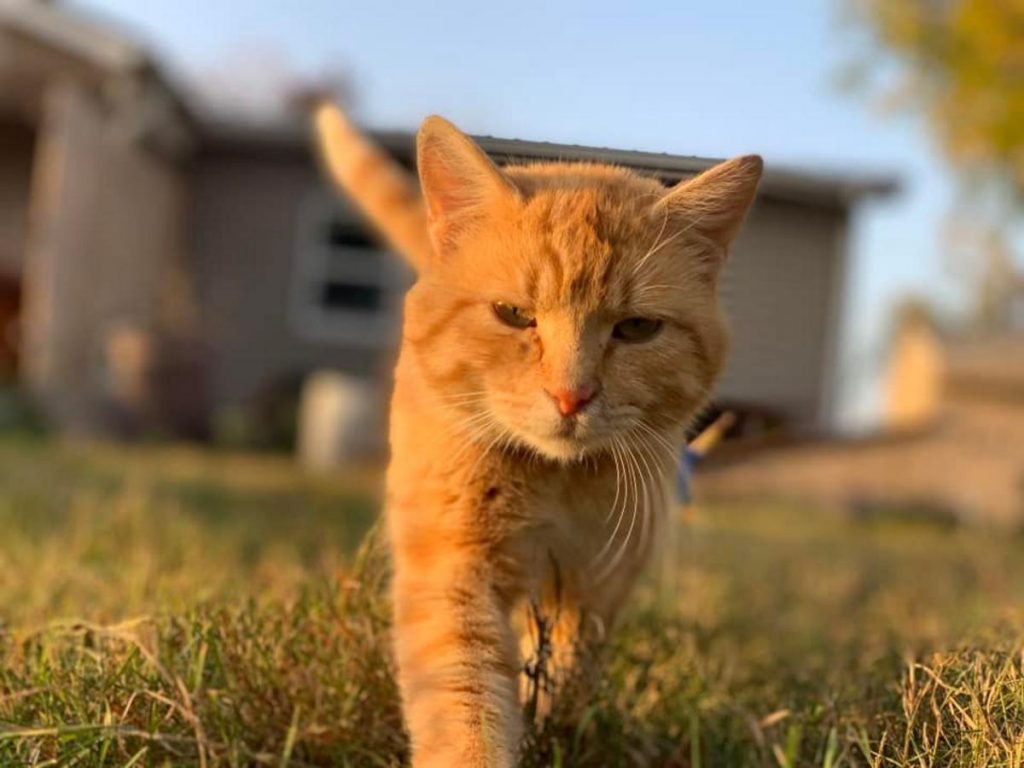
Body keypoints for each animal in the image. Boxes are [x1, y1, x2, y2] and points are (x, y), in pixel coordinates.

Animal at [317, 105, 761, 765]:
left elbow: (570, 671)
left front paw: (555, 723)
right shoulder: (454, 572)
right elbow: (465, 700)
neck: (555, 481)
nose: (571, 396)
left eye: (637, 328)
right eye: (514, 315)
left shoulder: (599, 582)